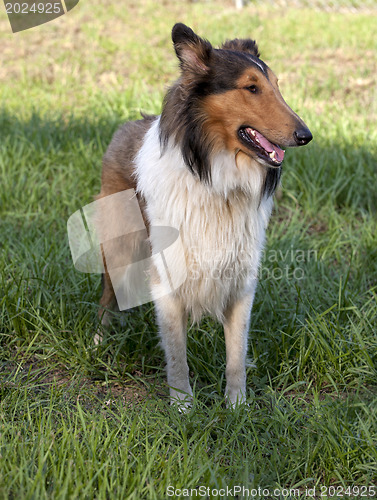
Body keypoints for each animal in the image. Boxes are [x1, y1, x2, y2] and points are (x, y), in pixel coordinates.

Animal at [97, 21, 312, 408]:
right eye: (251, 88)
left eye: (276, 85)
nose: (306, 136)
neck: (217, 179)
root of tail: (126, 125)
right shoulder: (167, 278)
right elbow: (176, 352)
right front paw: (184, 406)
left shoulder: (241, 279)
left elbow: (236, 354)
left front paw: (237, 406)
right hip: (119, 247)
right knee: (107, 295)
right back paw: (99, 342)